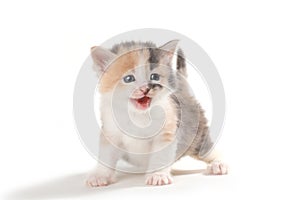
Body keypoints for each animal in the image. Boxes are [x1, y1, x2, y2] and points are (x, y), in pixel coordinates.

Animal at [85, 39, 226, 187]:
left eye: (155, 77)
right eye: (128, 79)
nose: (145, 89)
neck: (137, 115)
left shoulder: (167, 130)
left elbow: (161, 155)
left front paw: (158, 175)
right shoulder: (110, 132)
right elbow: (106, 156)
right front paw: (100, 175)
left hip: (196, 134)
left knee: (208, 149)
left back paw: (218, 164)